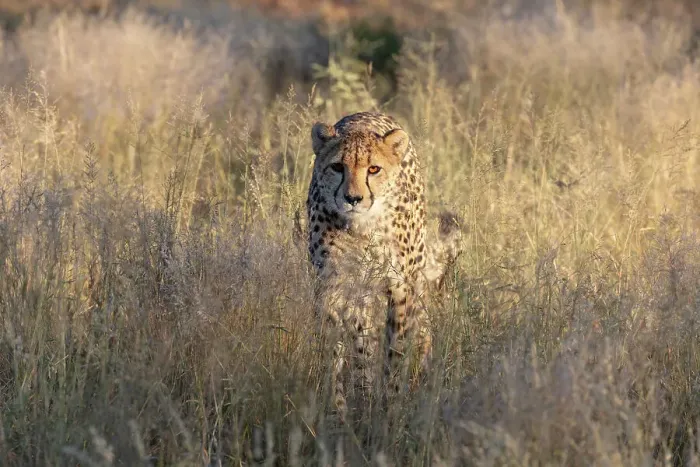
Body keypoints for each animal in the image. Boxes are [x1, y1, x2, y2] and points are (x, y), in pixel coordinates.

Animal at [306, 111, 461, 416]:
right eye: (337, 167)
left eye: (374, 169)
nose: (353, 198)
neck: (361, 228)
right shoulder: (333, 288)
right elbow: (334, 355)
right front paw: (338, 411)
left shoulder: (400, 288)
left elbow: (395, 351)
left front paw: (390, 406)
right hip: (361, 294)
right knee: (363, 346)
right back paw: (364, 394)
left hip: (415, 282)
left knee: (422, 329)